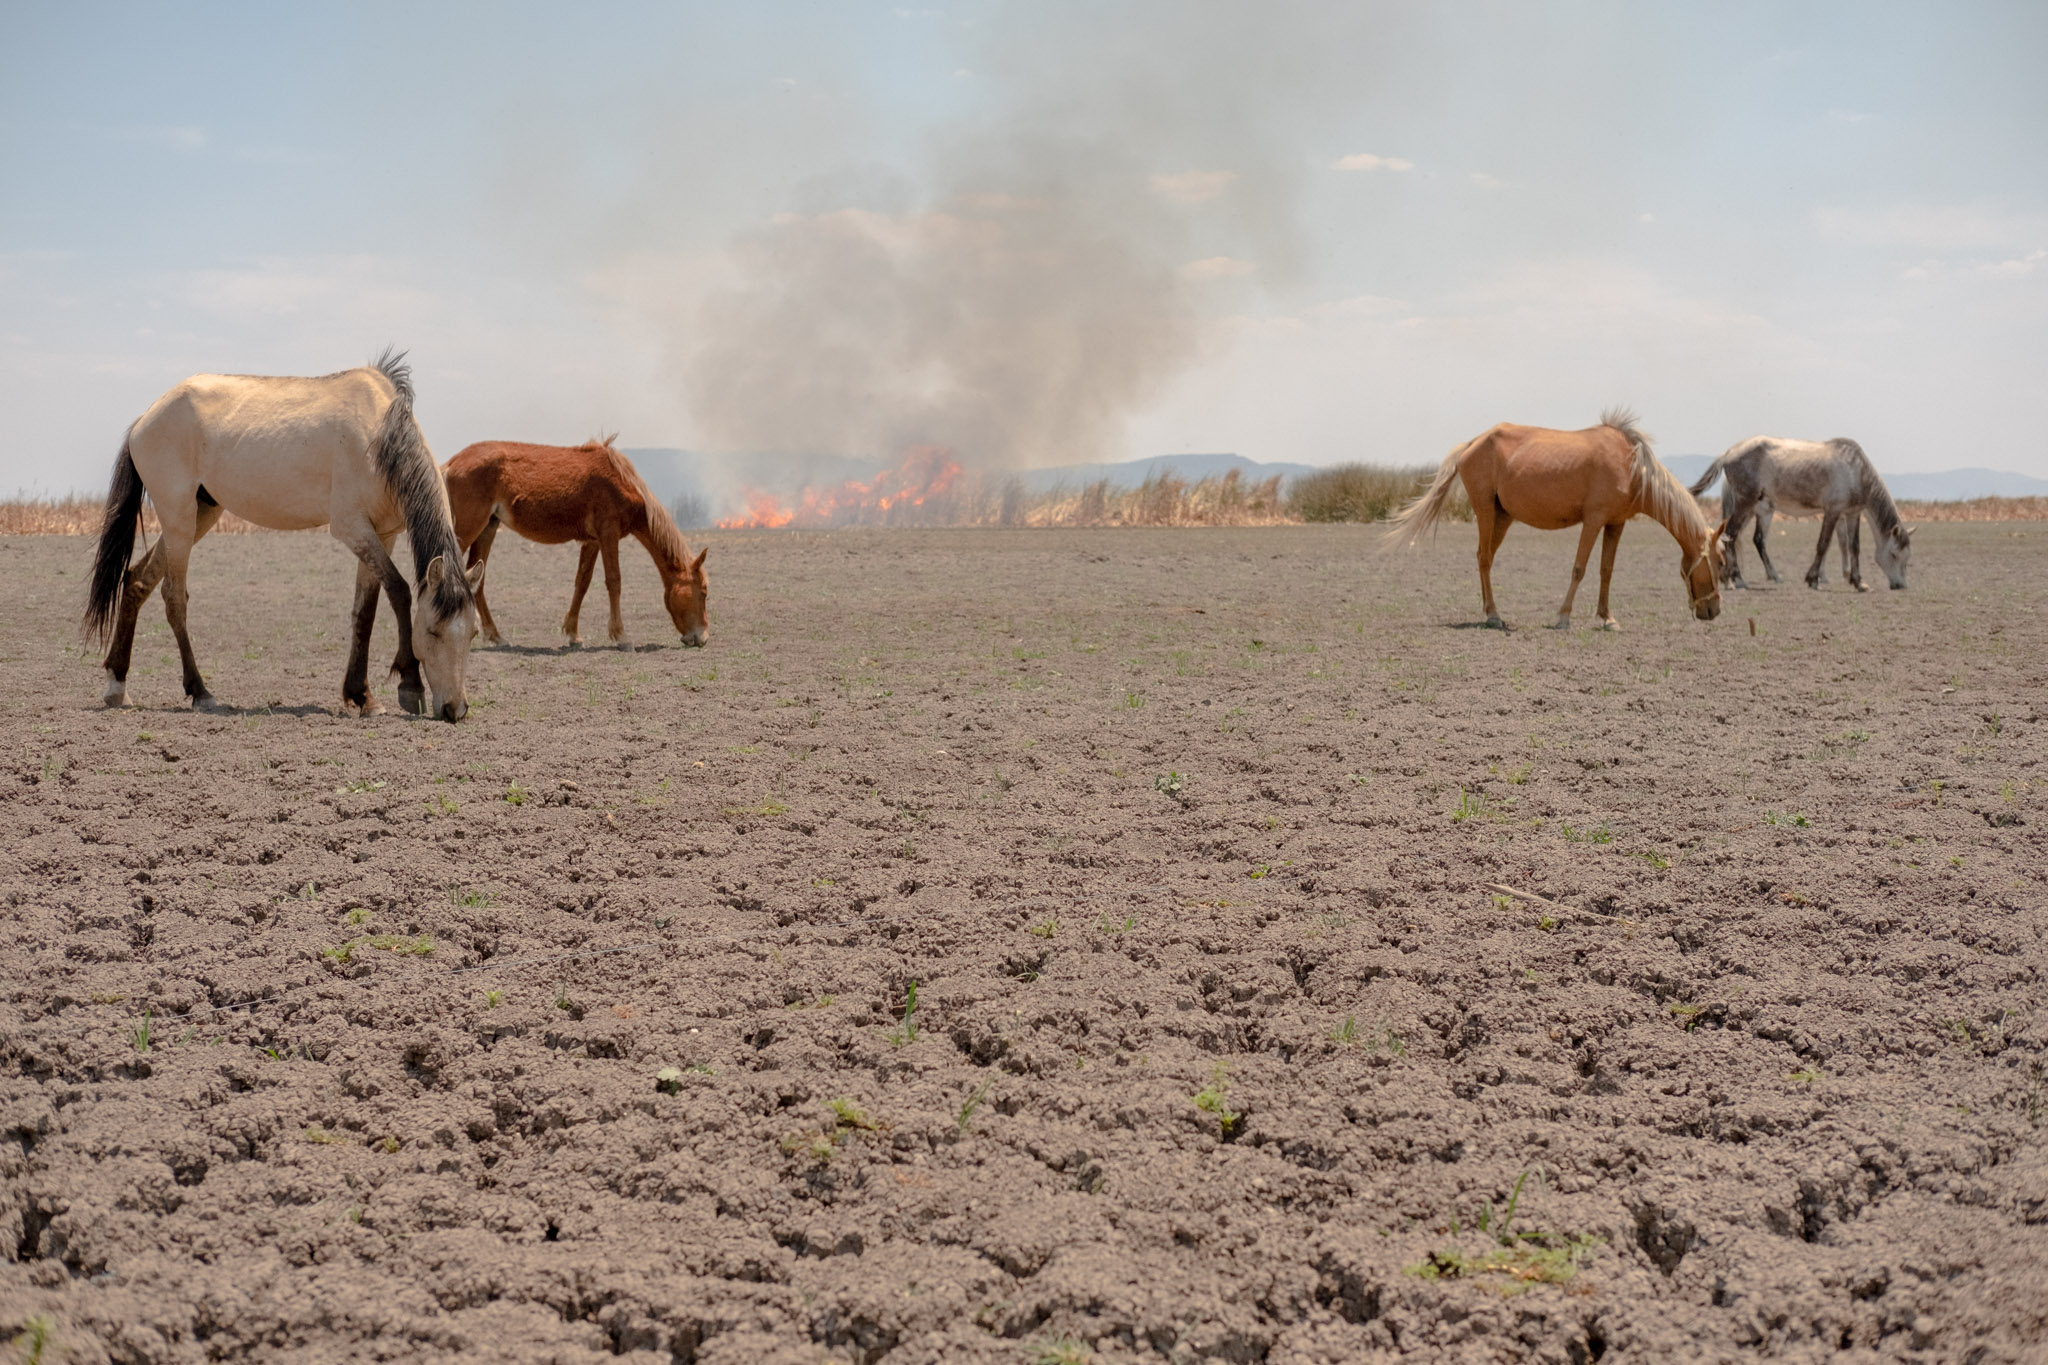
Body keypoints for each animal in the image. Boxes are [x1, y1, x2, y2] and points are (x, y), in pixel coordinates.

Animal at [83, 350, 484, 720]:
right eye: (432, 631)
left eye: (474, 633)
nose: (456, 709)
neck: (379, 439)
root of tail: (146, 417)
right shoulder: (352, 528)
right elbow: (399, 592)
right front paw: (409, 685)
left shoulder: (382, 534)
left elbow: (365, 610)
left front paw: (362, 696)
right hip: (178, 517)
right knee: (173, 597)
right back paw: (200, 691)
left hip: (199, 515)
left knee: (137, 582)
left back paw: (117, 685)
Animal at [443, 436, 708, 649]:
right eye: (704, 592)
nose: (703, 638)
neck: (620, 481)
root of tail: (452, 463)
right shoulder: (609, 534)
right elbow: (614, 581)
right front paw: (621, 636)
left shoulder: (592, 541)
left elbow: (583, 582)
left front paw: (573, 635)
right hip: (468, 528)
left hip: (488, 527)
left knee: (478, 579)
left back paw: (496, 636)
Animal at [1386, 408, 1724, 631]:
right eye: (1721, 562)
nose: (1713, 611)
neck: (1631, 466)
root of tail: (1471, 444)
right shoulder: (1593, 521)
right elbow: (1579, 568)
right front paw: (1563, 617)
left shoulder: (1616, 524)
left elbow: (1606, 571)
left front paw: (1608, 618)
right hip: (1484, 510)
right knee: (1483, 558)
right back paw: (1494, 614)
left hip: (1502, 516)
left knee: (1486, 557)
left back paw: (1489, 611)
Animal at [1687, 437, 1911, 591]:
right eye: (1894, 554)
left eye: (1907, 557)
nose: (1900, 585)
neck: (1855, 469)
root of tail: (1729, 452)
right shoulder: (1833, 511)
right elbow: (1823, 544)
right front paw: (1813, 579)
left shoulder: (1852, 514)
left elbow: (1853, 547)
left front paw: (1859, 583)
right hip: (1745, 504)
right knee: (1730, 536)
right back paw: (1736, 580)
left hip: (1756, 509)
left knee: (1750, 539)